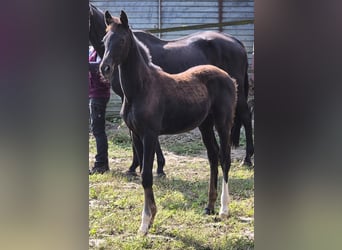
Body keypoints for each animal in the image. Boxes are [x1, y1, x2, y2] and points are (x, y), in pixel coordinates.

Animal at [100, 10, 236, 235]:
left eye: (121, 40)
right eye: (104, 40)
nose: (105, 68)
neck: (141, 88)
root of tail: (228, 77)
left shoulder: (149, 135)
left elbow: (147, 175)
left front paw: (145, 223)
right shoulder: (136, 134)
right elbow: (142, 172)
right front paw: (149, 220)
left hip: (223, 123)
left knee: (225, 158)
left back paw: (224, 209)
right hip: (205, 125)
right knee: (213, 157)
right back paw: (209, 206)